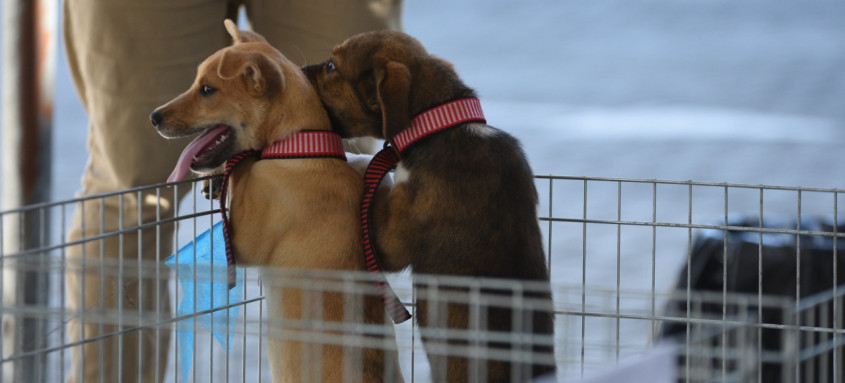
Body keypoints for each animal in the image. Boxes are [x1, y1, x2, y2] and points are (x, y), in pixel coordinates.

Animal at [152, 21, 402, 383]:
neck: (301, 147)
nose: (153, 117)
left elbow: (240, 166)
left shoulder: (241, 239)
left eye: (207, 90)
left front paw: (221, 172)